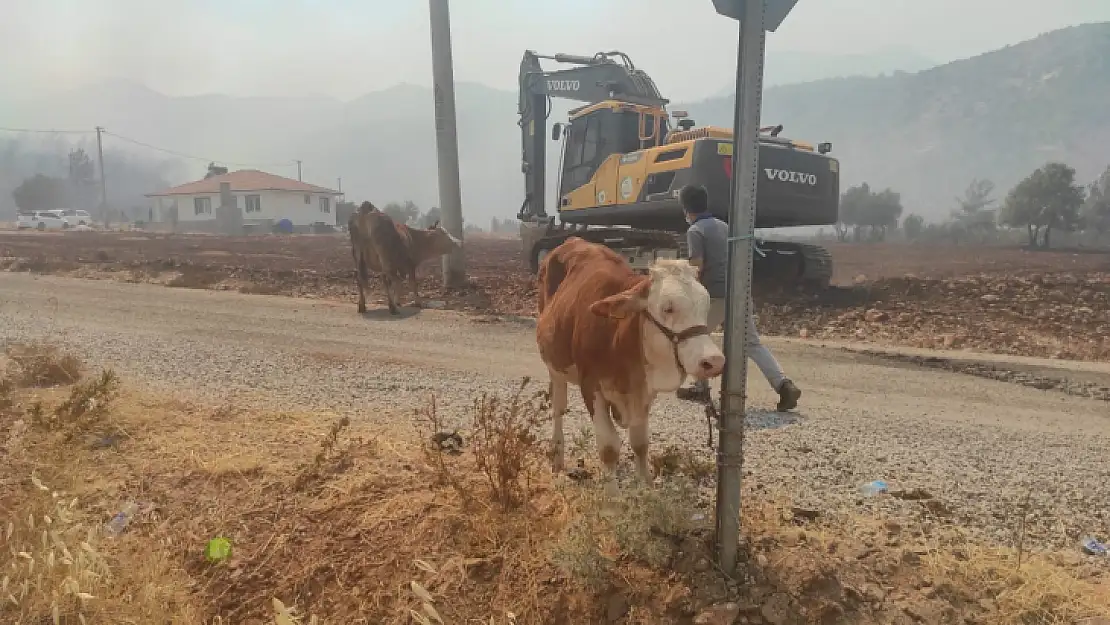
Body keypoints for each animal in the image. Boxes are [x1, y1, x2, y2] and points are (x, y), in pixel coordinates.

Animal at [537, 237, 728, 497]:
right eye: (668, 308)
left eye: (706, 307)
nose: (714, 360)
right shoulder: (591, 386)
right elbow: (609, 447)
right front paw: (613, 496)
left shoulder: (644, 393)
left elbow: (640, 443)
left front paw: (646, 486)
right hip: (554, 366)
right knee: (558, 408)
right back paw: (556, 456)